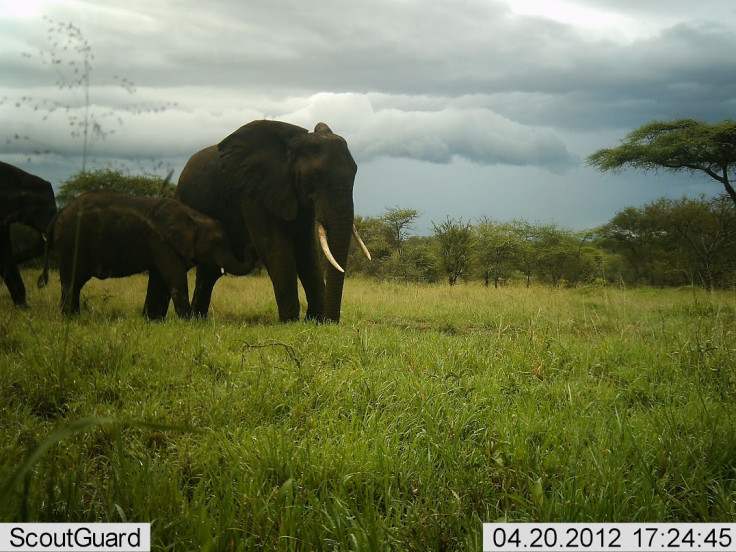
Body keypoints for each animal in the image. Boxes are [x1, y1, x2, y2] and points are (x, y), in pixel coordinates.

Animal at [38, 191, 256, 316]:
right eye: (217, 242)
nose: (250, 242)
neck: (194, 218)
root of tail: (58, 214)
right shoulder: (161, 241)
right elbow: (175, 278)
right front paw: (189, 321)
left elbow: (159, 278)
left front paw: (151, 320)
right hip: (71, 242)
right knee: (72, 281)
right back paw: (68, 317)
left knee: (75, 282)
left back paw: (74, 316)